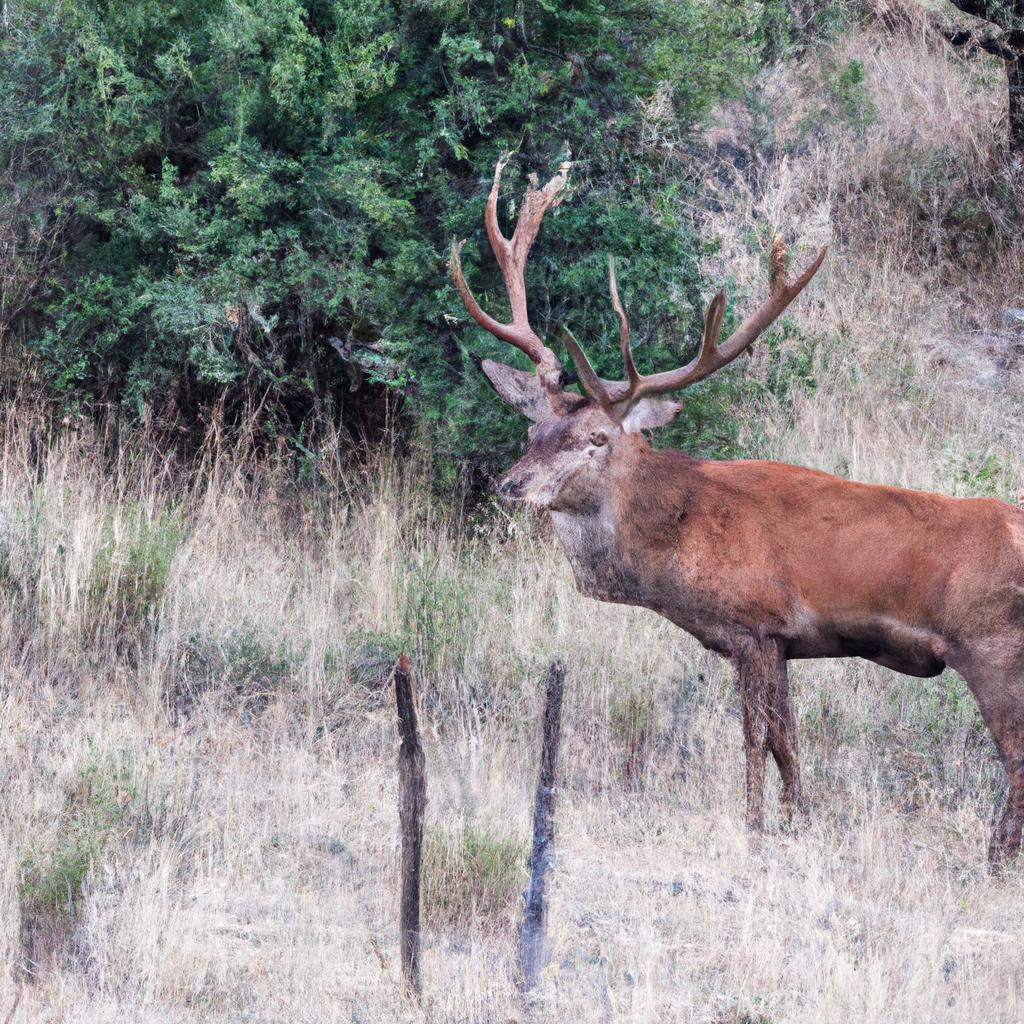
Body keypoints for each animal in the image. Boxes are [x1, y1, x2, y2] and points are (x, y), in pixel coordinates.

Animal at [450, 155, 1024, 868]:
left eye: (597, 439)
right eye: (533, 430)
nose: (512, 484)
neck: (675, 546)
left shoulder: (755, 624)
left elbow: (757, 738)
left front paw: (754, 828)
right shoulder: (784, 642)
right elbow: (788, 743)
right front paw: (799, 821)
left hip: (991, 643)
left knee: (1016, 755)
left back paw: (996, 860)